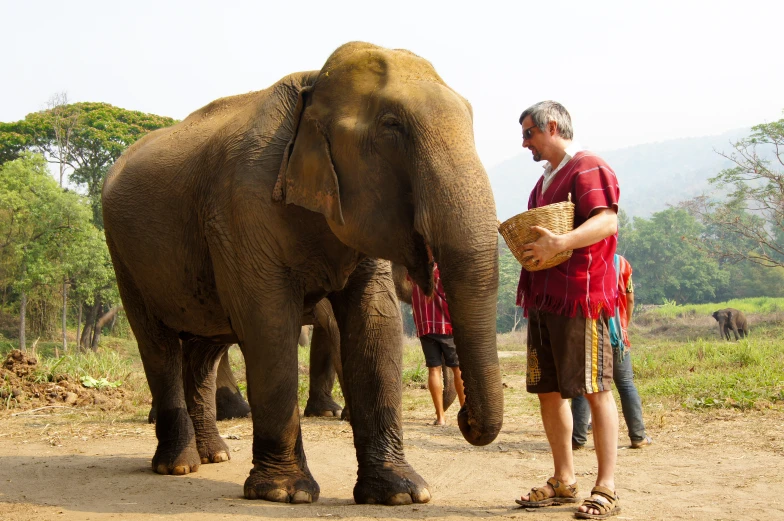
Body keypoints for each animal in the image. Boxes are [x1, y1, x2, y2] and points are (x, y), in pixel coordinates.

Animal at [102, 42, 502, 506]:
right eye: (392, 126)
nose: (465, 420)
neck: (314, 87)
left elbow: (374, 322)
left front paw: (402, 493)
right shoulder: (242, 206)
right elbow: (270, 322)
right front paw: (284, 493)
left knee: (204, 349)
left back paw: (213, 456)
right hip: (124, 255)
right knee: (159, 344)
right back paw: (178, 466)